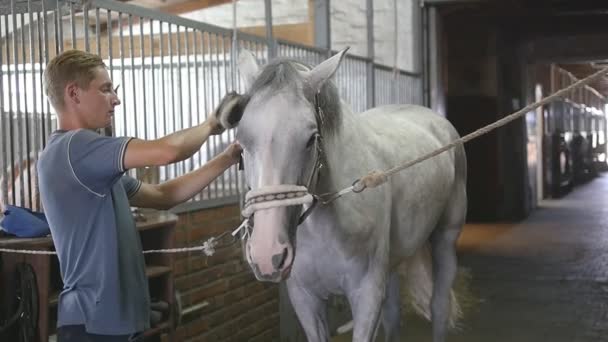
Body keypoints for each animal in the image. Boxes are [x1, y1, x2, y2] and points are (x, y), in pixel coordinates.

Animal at [226, 48, 468, 342]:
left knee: (439, 306)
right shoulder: (305, 299)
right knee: (394, 317)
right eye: (240, 142)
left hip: (445, 240)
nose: (267, 254)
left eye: (311, 138)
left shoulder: (367, 295)